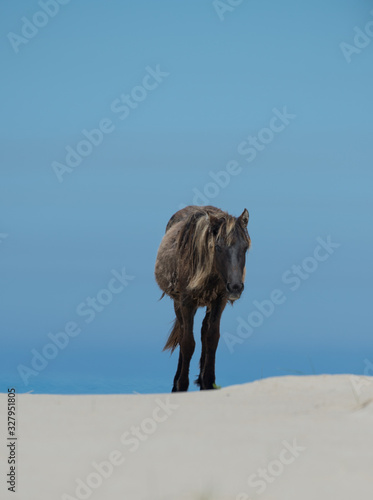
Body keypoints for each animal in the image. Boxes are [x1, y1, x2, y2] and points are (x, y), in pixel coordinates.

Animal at [154, 205, 250, 392]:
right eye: (218, 247)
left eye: (245, 247)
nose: (235, 287)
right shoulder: (186, 303)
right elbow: (187, 342)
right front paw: (182, 384)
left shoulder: (219, 301)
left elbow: (212, 338)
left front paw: (209, 382)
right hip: (178, 304)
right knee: (183, 332)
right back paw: (177, 380)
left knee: (204, 331)